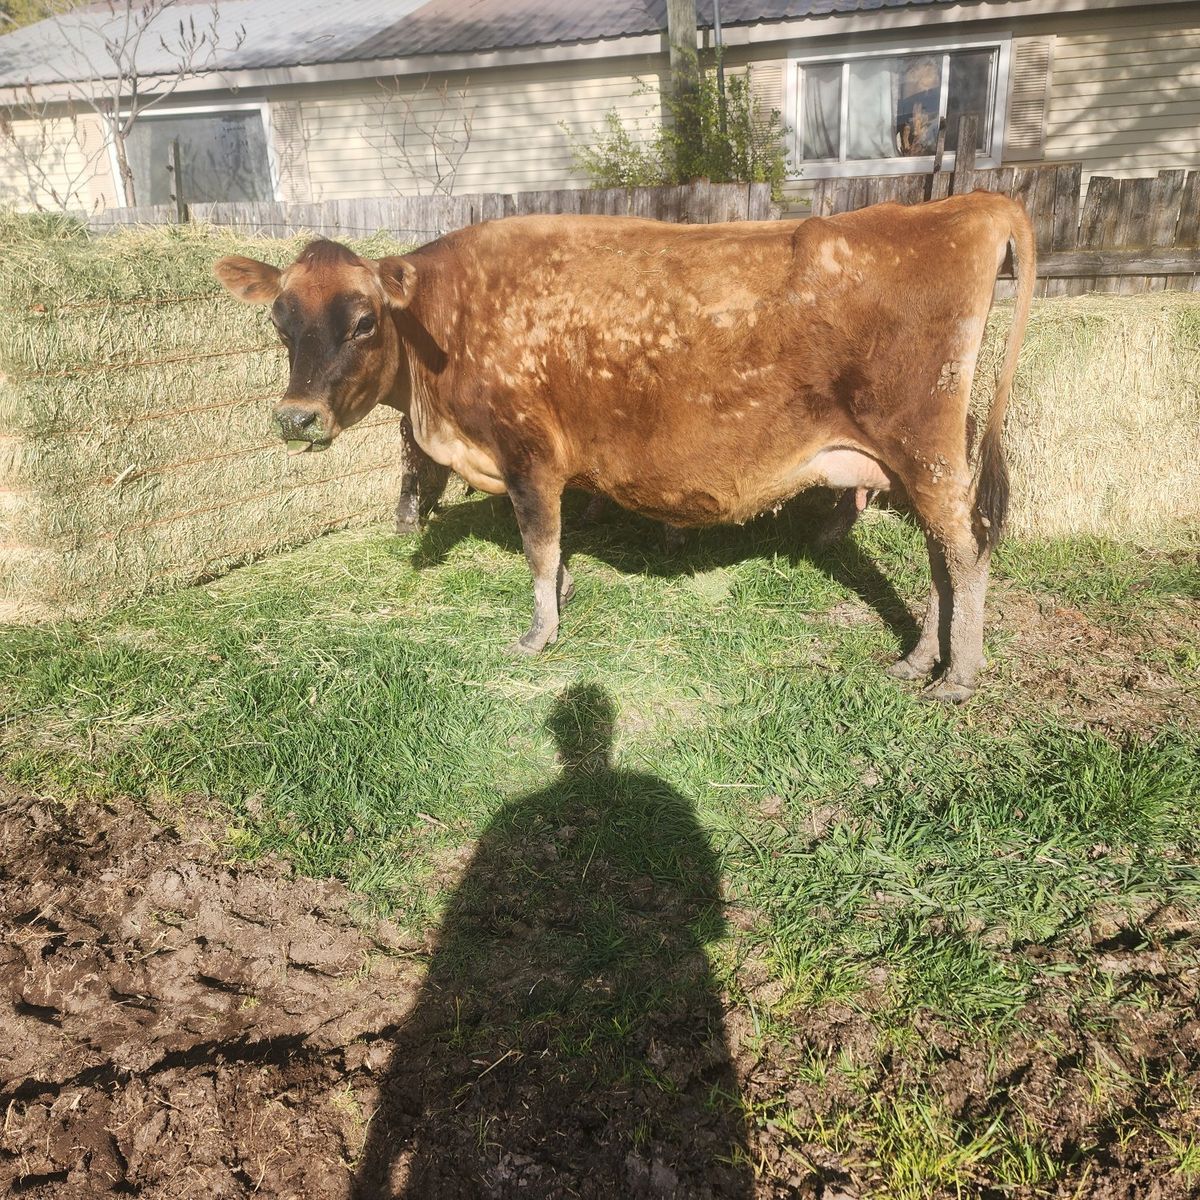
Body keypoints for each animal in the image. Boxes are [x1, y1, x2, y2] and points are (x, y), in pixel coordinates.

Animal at [214, 192, 1035, 701]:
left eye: (362, 322)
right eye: (280, 323)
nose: (296, 418)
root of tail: (967, 205)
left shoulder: (530, 453)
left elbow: (538, 542)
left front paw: (539, 632)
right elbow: (552, 549)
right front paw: (565, 595)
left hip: (923, 447)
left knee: (967, 552)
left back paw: (958, 675)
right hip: (910, 461)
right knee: (940, 555)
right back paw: (918, 659)